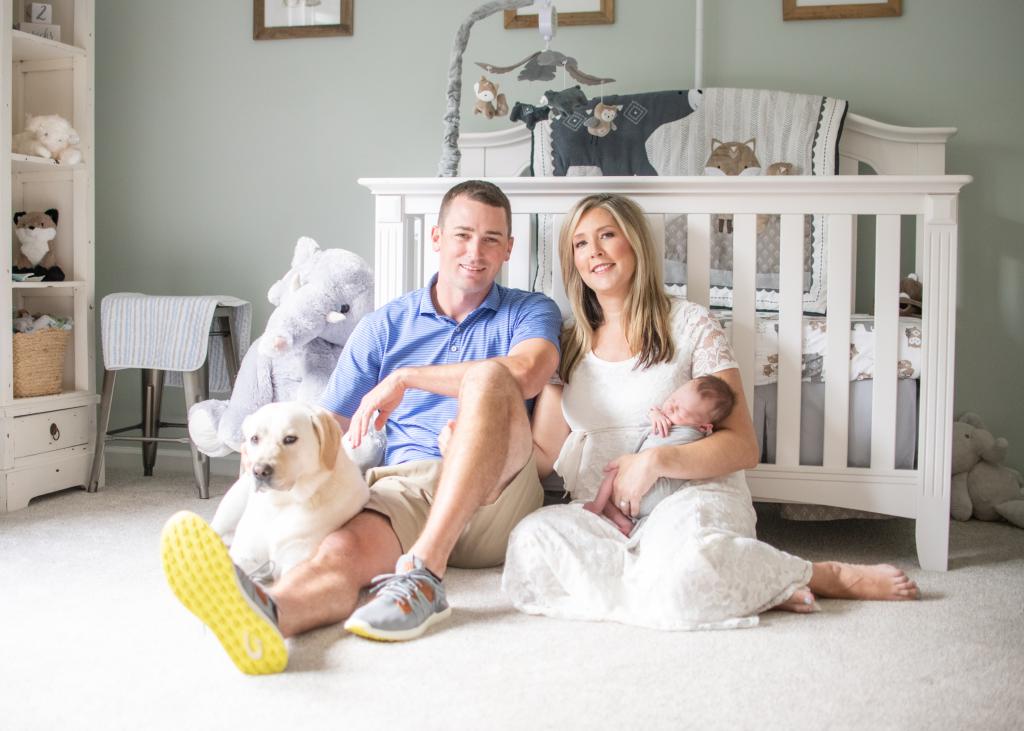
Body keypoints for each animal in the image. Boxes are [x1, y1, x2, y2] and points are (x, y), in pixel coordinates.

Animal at [209, 399, 370, 581]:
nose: (259, 471)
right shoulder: (244, 555)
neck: (280, 503)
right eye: (254, 438)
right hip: (230, 509)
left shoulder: (295, 560)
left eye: (290, 439)